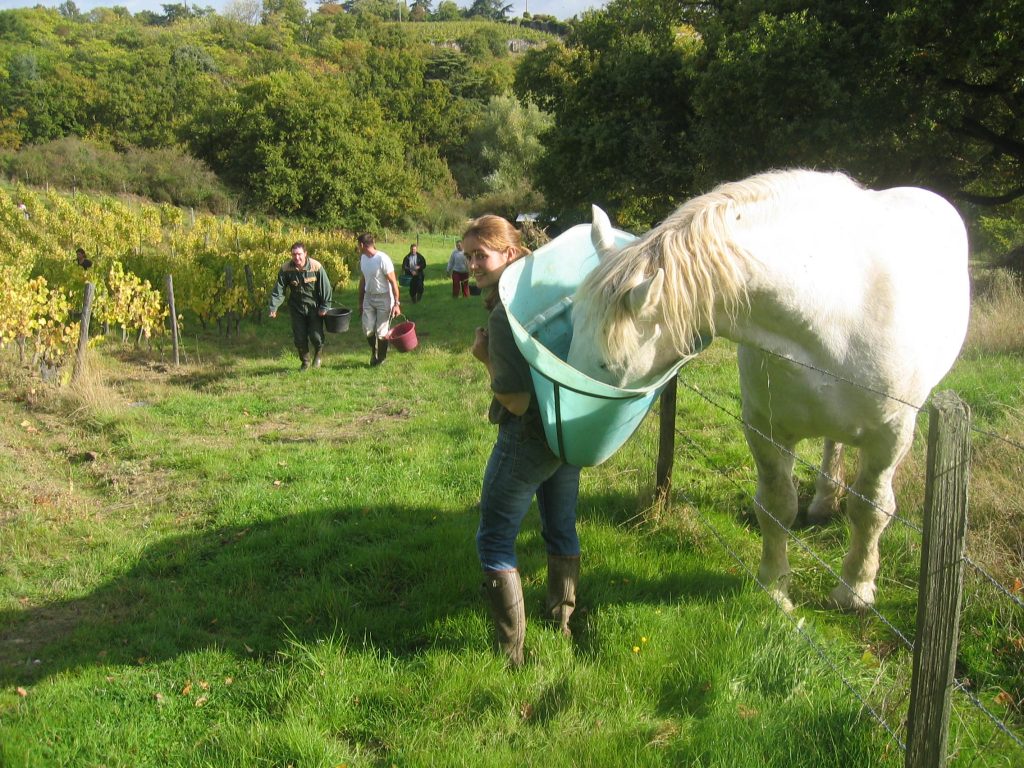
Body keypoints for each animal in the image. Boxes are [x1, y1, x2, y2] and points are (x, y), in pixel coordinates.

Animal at [569, 169, 966, 614]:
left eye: (607, 366)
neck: (833, 312)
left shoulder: (890, 436)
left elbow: (870, 509)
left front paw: (855, 591)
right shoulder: (766, 430)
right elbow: (776, 506)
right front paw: (775, 588)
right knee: (832, 445)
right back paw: (824, 501)